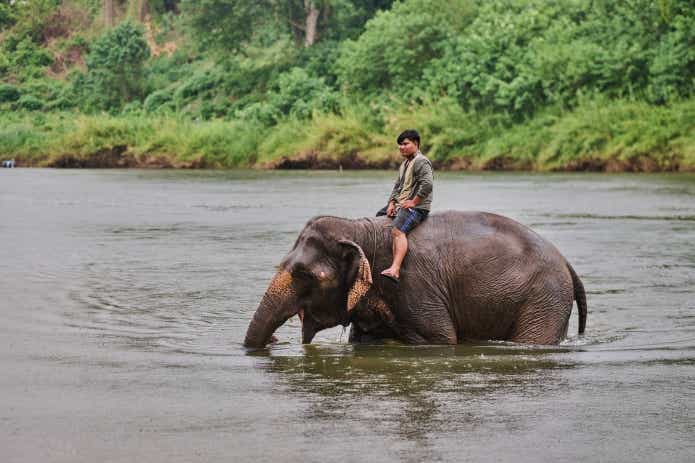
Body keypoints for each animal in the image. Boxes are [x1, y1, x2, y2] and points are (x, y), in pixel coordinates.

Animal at [245, 210, 588, 348]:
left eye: (304, 274)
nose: (275, 340)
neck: (360, 231)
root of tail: (566, 263)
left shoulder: (412, 285)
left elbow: (440, 339)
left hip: (544, 299)